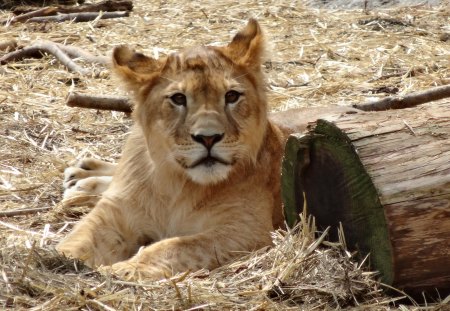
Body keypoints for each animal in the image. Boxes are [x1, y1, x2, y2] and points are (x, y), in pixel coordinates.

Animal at [56, 20, 356, 282]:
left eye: (231, 96)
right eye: (178, 99)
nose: (208, 138)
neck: (176, 184)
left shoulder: (246, 231)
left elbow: (173, 247)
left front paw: (121, 271)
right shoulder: (114, 214)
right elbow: (76, 242)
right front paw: (56, 263)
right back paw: (81, 177)